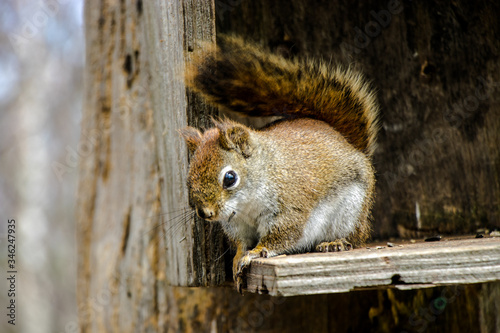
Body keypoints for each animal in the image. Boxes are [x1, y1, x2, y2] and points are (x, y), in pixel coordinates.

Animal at [180, 35, 378, 292]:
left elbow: (280, 236)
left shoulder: (289, 207)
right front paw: (238, 257)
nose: (206, 213)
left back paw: (335, 242)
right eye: (188, 180)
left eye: (230, 178)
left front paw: (255, 252)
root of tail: (347, 142)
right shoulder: (237, 224)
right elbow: (241, 242)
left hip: (352, 209)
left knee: (356, 235)